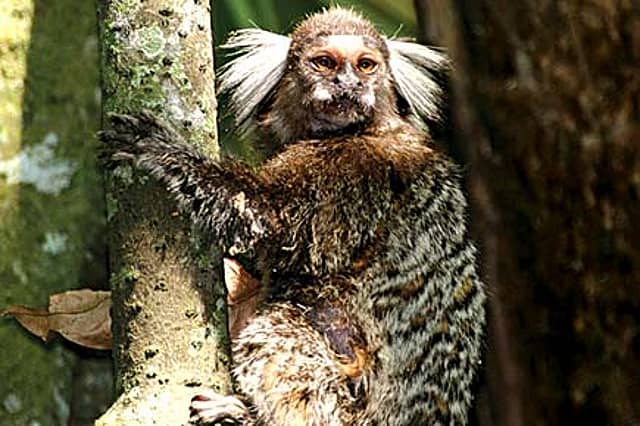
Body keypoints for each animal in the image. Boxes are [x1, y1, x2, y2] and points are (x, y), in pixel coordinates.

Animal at [100, 7, 486, 425]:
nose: (348, 84)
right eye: (325, 62)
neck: (358, 130)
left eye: (365, 65)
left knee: (282, 327)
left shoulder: (353, 169)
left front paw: (164, 151)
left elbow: (265, 217)